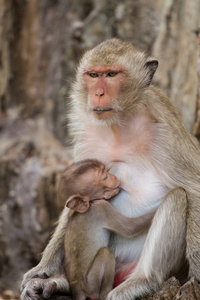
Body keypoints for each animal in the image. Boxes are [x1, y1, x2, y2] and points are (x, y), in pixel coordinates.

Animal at [58, 161, 155, 300]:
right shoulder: (103, 209)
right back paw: (105, 292)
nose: (114, 177)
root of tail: (78, 290)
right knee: (106, 253)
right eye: (104, 176)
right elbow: (129, 228)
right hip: (91, 282)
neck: (91, 203)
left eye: (106, 171)